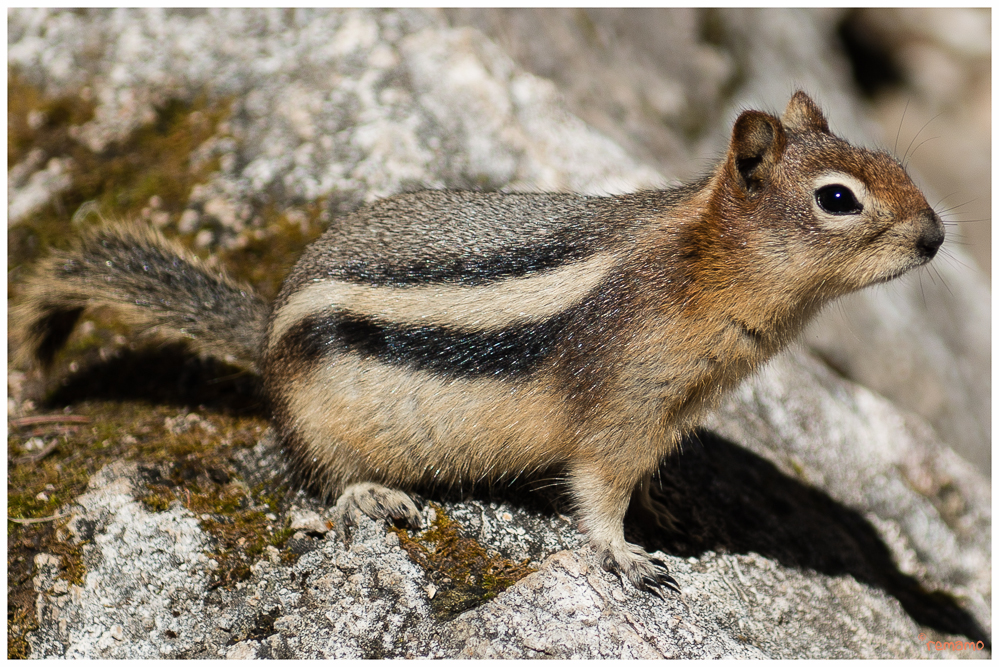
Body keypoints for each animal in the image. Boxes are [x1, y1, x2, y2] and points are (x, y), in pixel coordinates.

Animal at [11, 92, 940, 596]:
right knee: (319, 475)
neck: (700, 266)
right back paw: (369, 497)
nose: (934, 237)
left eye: (896, 162)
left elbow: (643, 476)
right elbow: (598, 495)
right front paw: (626, 554)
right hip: (319, 416)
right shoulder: (618, 408)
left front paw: (672, 502)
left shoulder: (662, 413)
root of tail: (267, 327)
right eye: (837, 199)